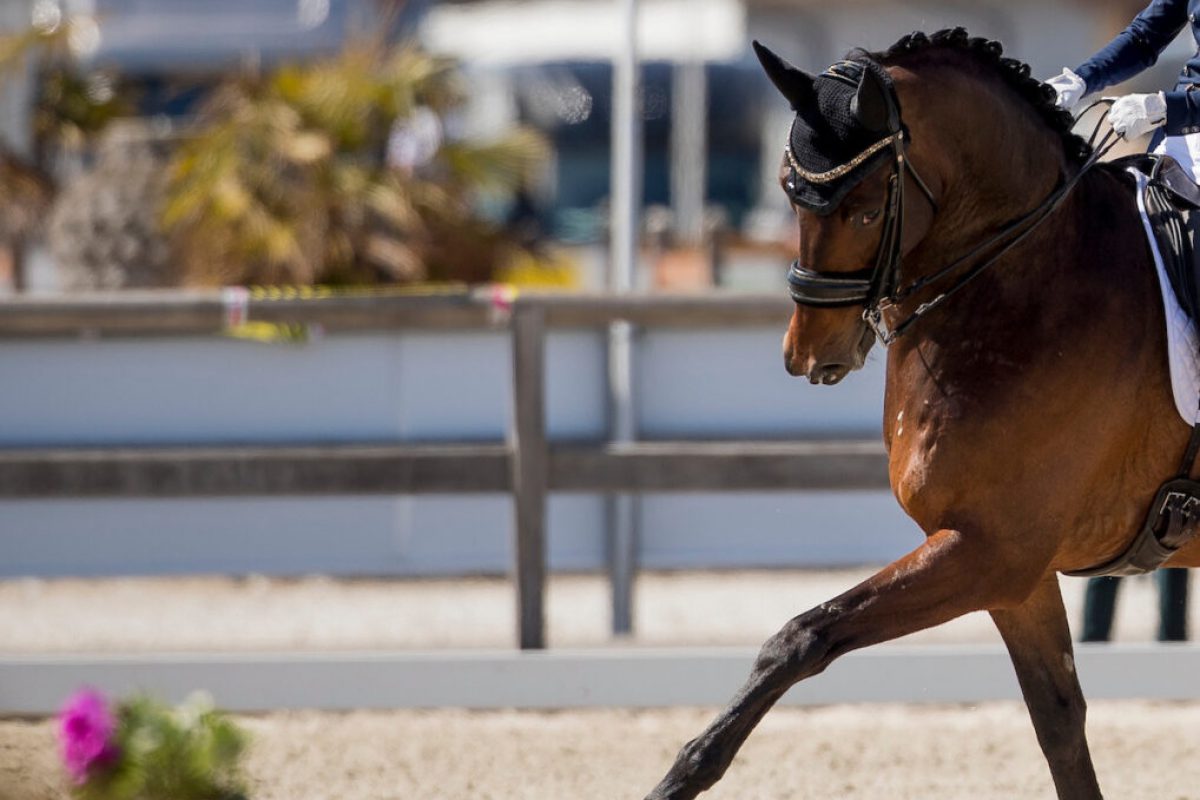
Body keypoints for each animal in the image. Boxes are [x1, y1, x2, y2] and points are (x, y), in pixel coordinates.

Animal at [648, 25, 1200, 800]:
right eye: (789, 191)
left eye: (866, 208)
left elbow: (802, 637)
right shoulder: (1014, 573)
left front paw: (685, 770)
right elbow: (1060, 723)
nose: (806, 353)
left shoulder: (989, 551)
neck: (1034, 284)